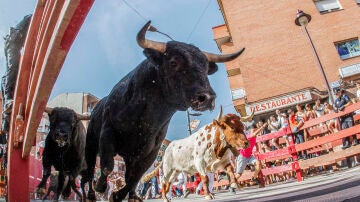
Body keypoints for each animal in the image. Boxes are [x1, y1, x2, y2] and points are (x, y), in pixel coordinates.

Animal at [81, 21, 245, 201]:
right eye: (173, 63)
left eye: (205, 67)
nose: (208, 97)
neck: (147, 117)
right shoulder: (108, 134)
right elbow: (107, 167)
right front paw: (102, 187)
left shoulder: (149, 153)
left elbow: (134, 179)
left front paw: (118, 195)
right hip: (90, 145)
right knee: (88, 172)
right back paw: (91, 193)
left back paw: (132, 196)